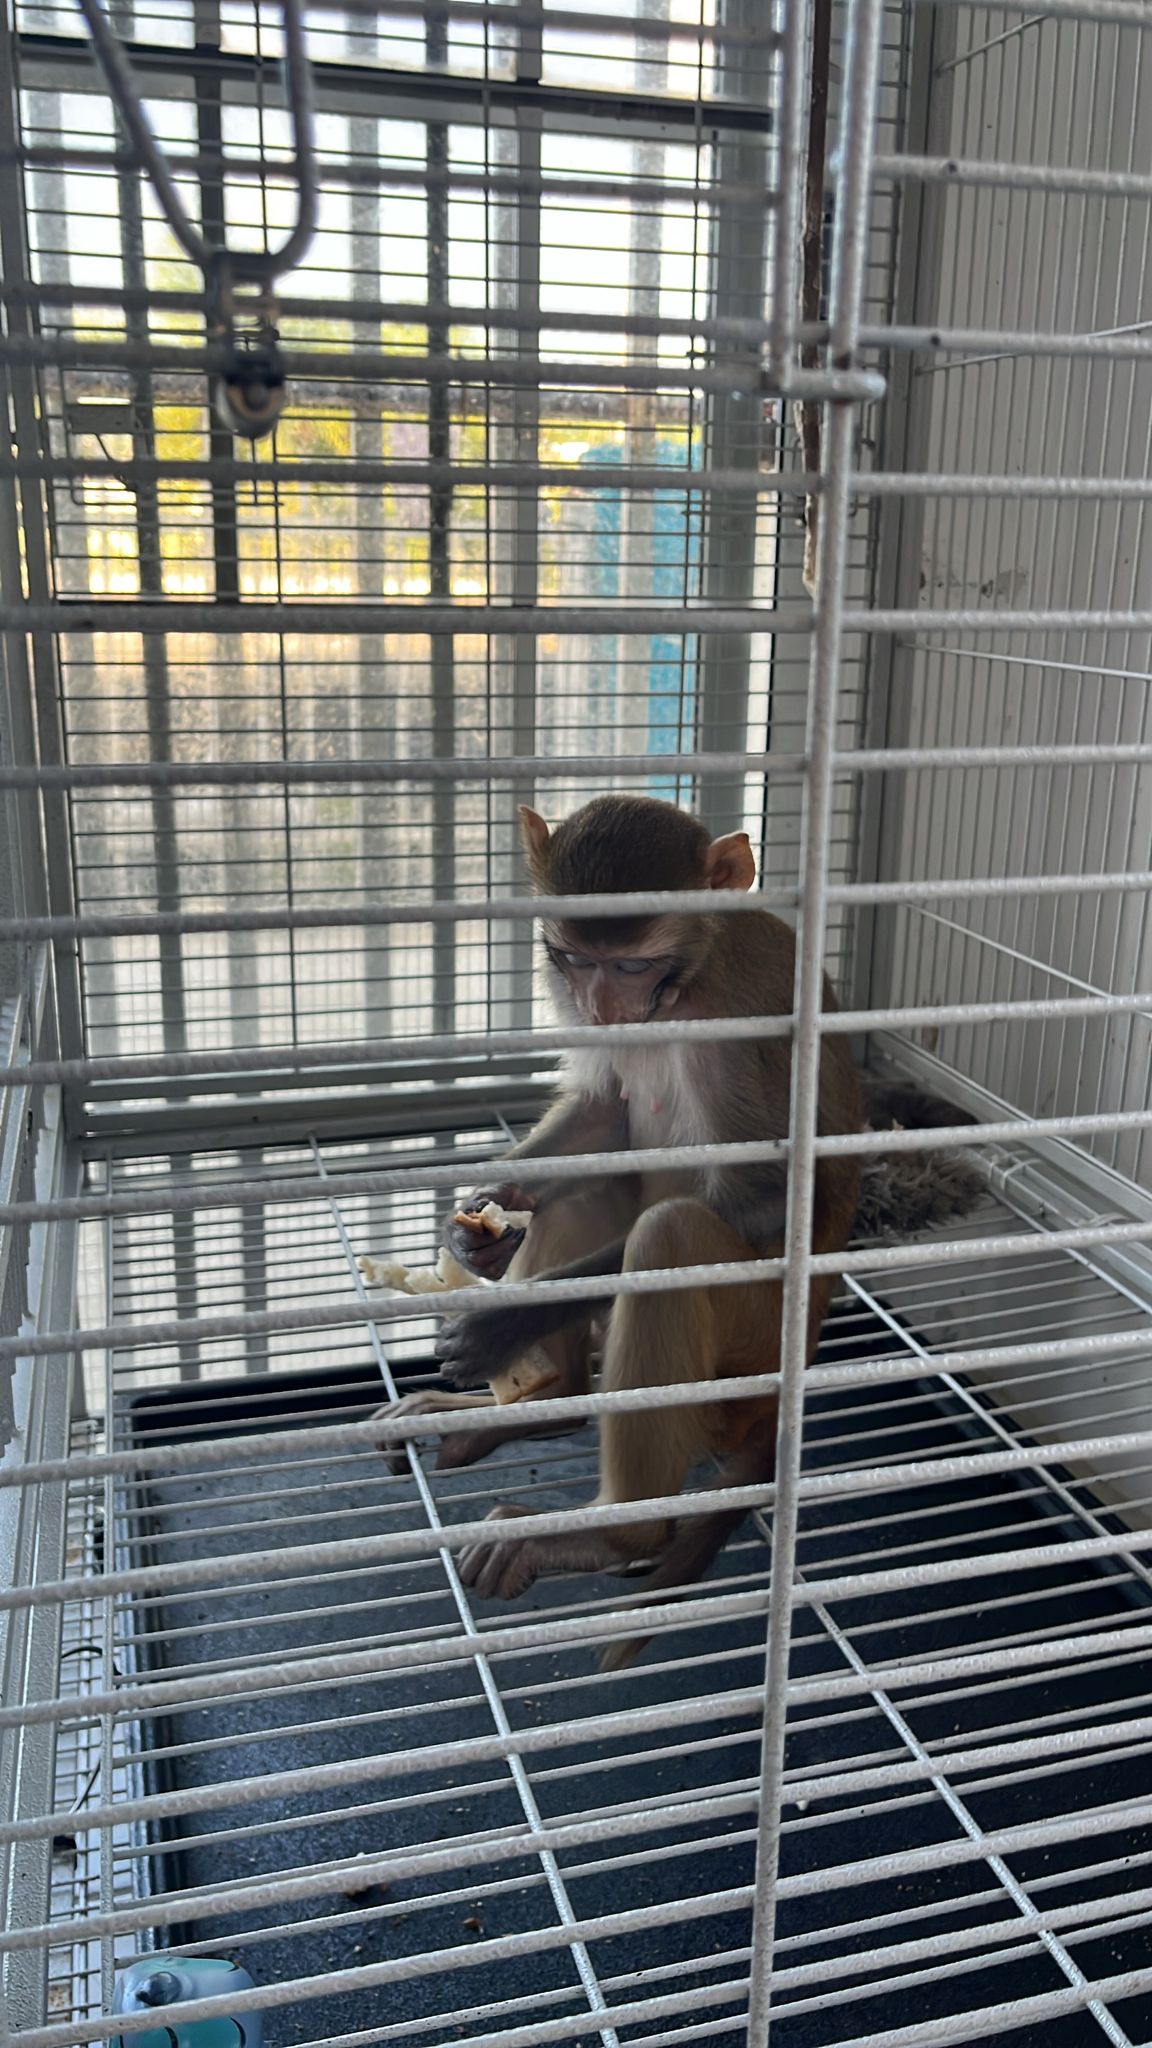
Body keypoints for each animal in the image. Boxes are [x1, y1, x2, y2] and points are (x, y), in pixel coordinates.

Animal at [380, 791, 866, 1664]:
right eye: (572, 958)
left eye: (634, 965)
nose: (604, 1008)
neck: (687, 986)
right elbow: (603, 1115)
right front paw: (475, 1227)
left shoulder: (745, 1027)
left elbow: (767, 1198)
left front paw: (506, 1322)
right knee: (588, 1192)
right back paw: (554, 1400)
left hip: (753, 1345)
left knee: (669, 1234)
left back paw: (613, 1532)